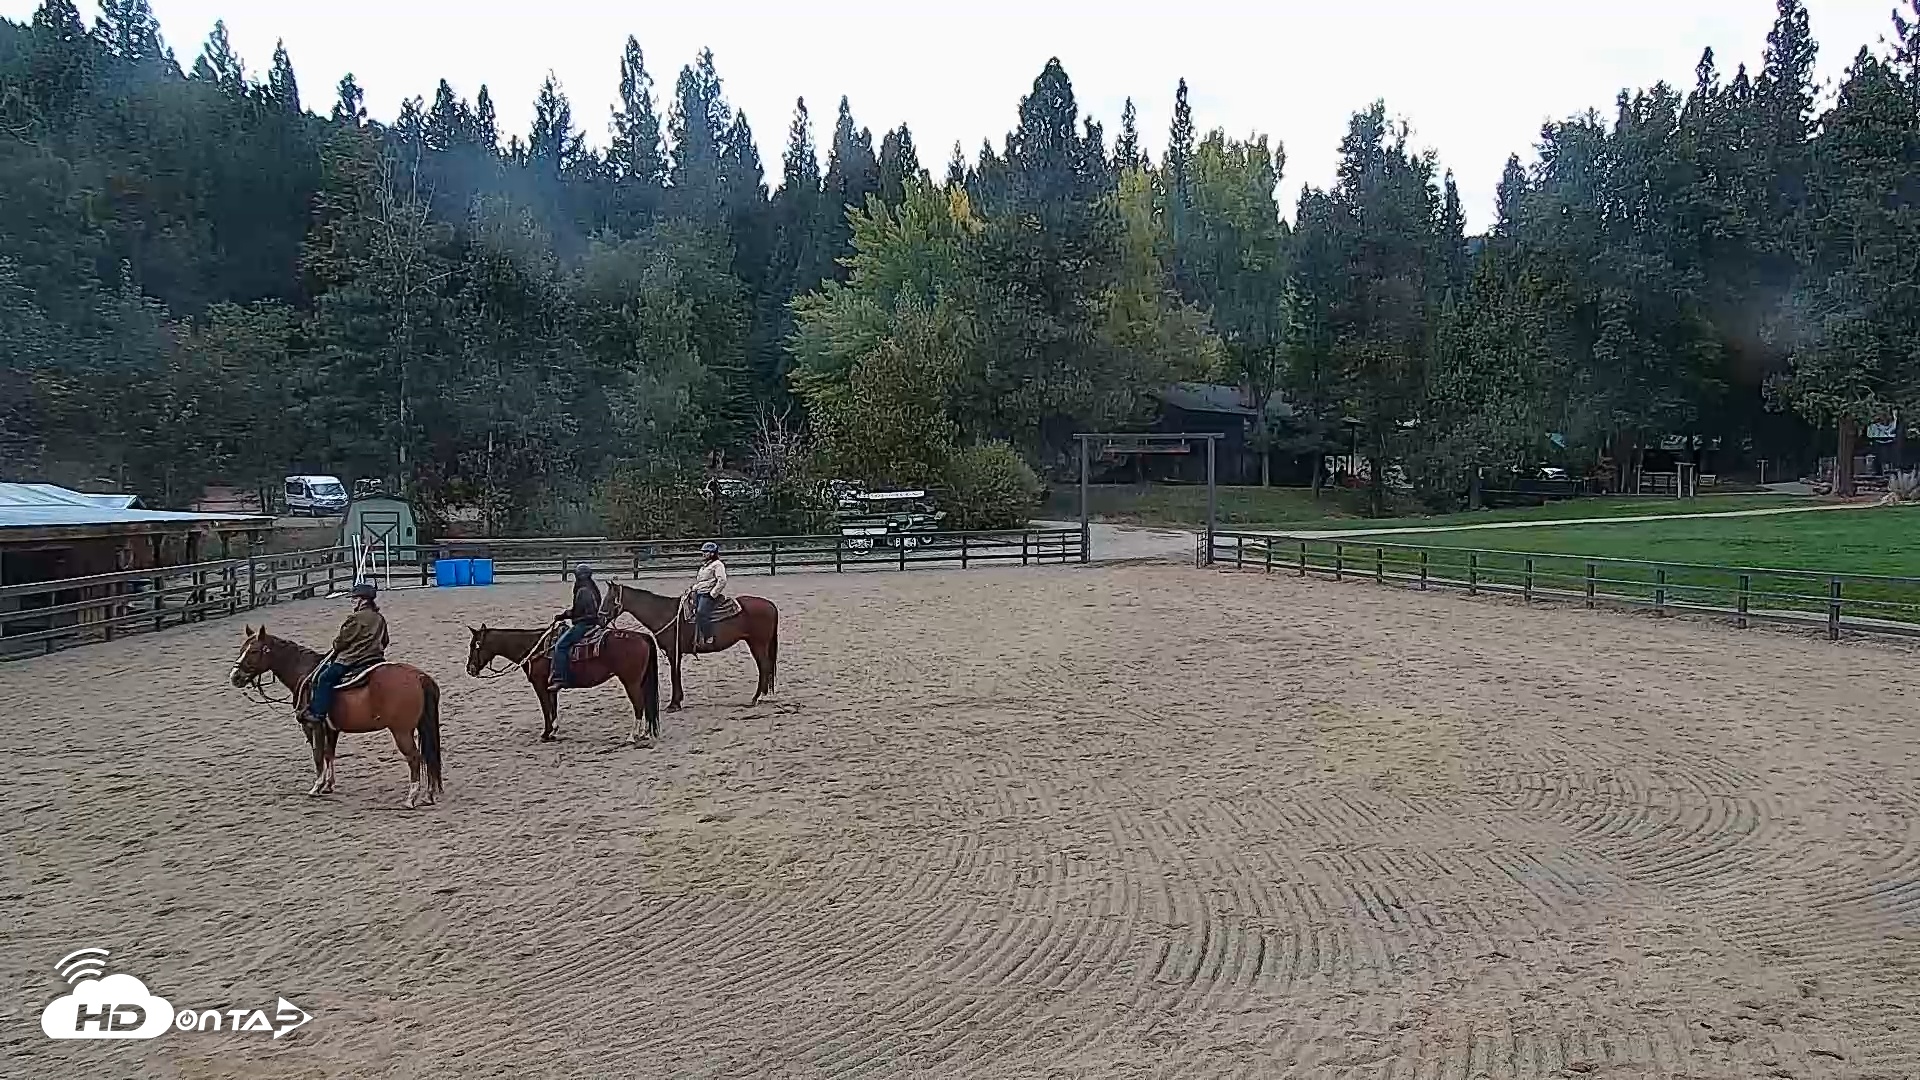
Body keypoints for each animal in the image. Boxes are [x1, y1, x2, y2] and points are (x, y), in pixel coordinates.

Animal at [228, 625, 445, 809]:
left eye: (254, 651)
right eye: (242, 649)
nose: (235, 677)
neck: (304, 672)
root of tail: (419, 676)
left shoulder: (312, 725)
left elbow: (317, 754)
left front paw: (316, 786)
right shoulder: (330, 728)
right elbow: (328, 753)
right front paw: (328, 785)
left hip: (401, 731)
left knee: (415, 758)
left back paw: (411, 798)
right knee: (427, 756)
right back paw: (429, 794)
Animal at [464, 623, 661, 744]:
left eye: (475, 645)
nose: (470, 669)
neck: (534, 648)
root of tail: (642, 636)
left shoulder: (540, 685)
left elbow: (546, 708)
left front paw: (546, 733)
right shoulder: (551, 687)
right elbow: (553, 708)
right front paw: (554, 731)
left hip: (631, 681)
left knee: (638, 704)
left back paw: (632, 736)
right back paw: (644, 733)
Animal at [600, 581, 779, 711]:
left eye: (609, 600)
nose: (600, 619)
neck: (663, 613)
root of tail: (770, 605)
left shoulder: (673, 651)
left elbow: (674, 675)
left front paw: (674, 704)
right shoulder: (676, 652)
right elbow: (676, 674)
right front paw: (678, 701)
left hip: (758, 643)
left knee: (764, 666)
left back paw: (757, 698)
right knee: (765, 667)